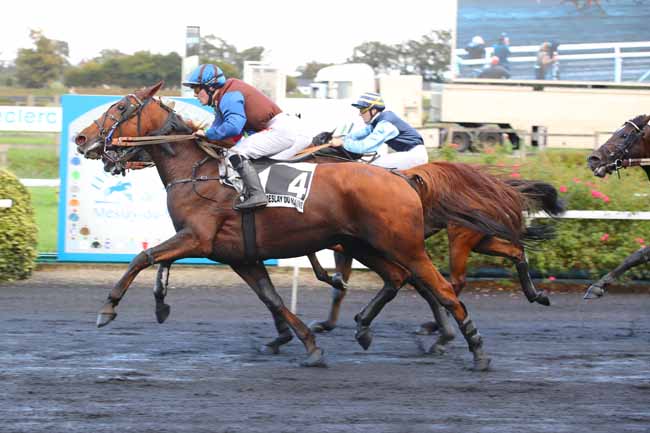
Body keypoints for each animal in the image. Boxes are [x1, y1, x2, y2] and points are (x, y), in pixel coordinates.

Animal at [72, 82, 528, 370]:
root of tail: (402, 178)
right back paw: (369, 328)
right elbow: (272, 300)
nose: (80, 139)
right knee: (399, 280)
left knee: (443, 288)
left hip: (404, 245)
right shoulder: (238, 255)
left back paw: (473, 349)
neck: (197, 172)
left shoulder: (197, 238)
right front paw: (305, 344)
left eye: (118, 108)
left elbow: (143, 257)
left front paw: (108, 308)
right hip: (366, 245)